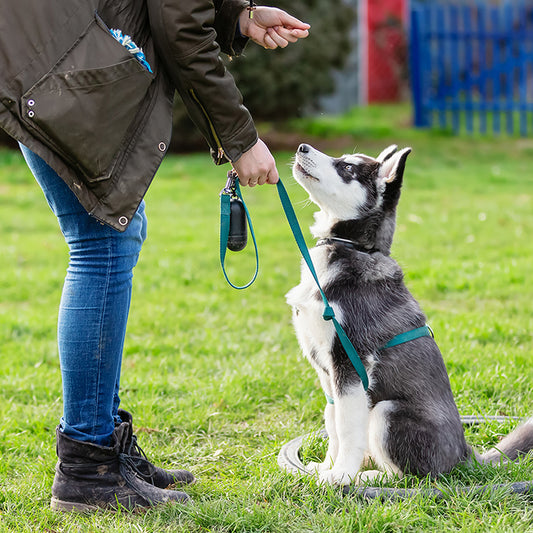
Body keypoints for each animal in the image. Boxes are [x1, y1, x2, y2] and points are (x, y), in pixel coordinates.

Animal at [284, 143, 532, 484]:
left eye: (347, 168)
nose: (302, 147)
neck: (353, 248)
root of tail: (465, 454)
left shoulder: (351, 363)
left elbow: (347, 429)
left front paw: (341, 475)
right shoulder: (328, 373)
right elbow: (332, 421)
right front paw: (326, 466)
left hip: (387, 410)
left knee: (413, 476)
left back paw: (370, 477)